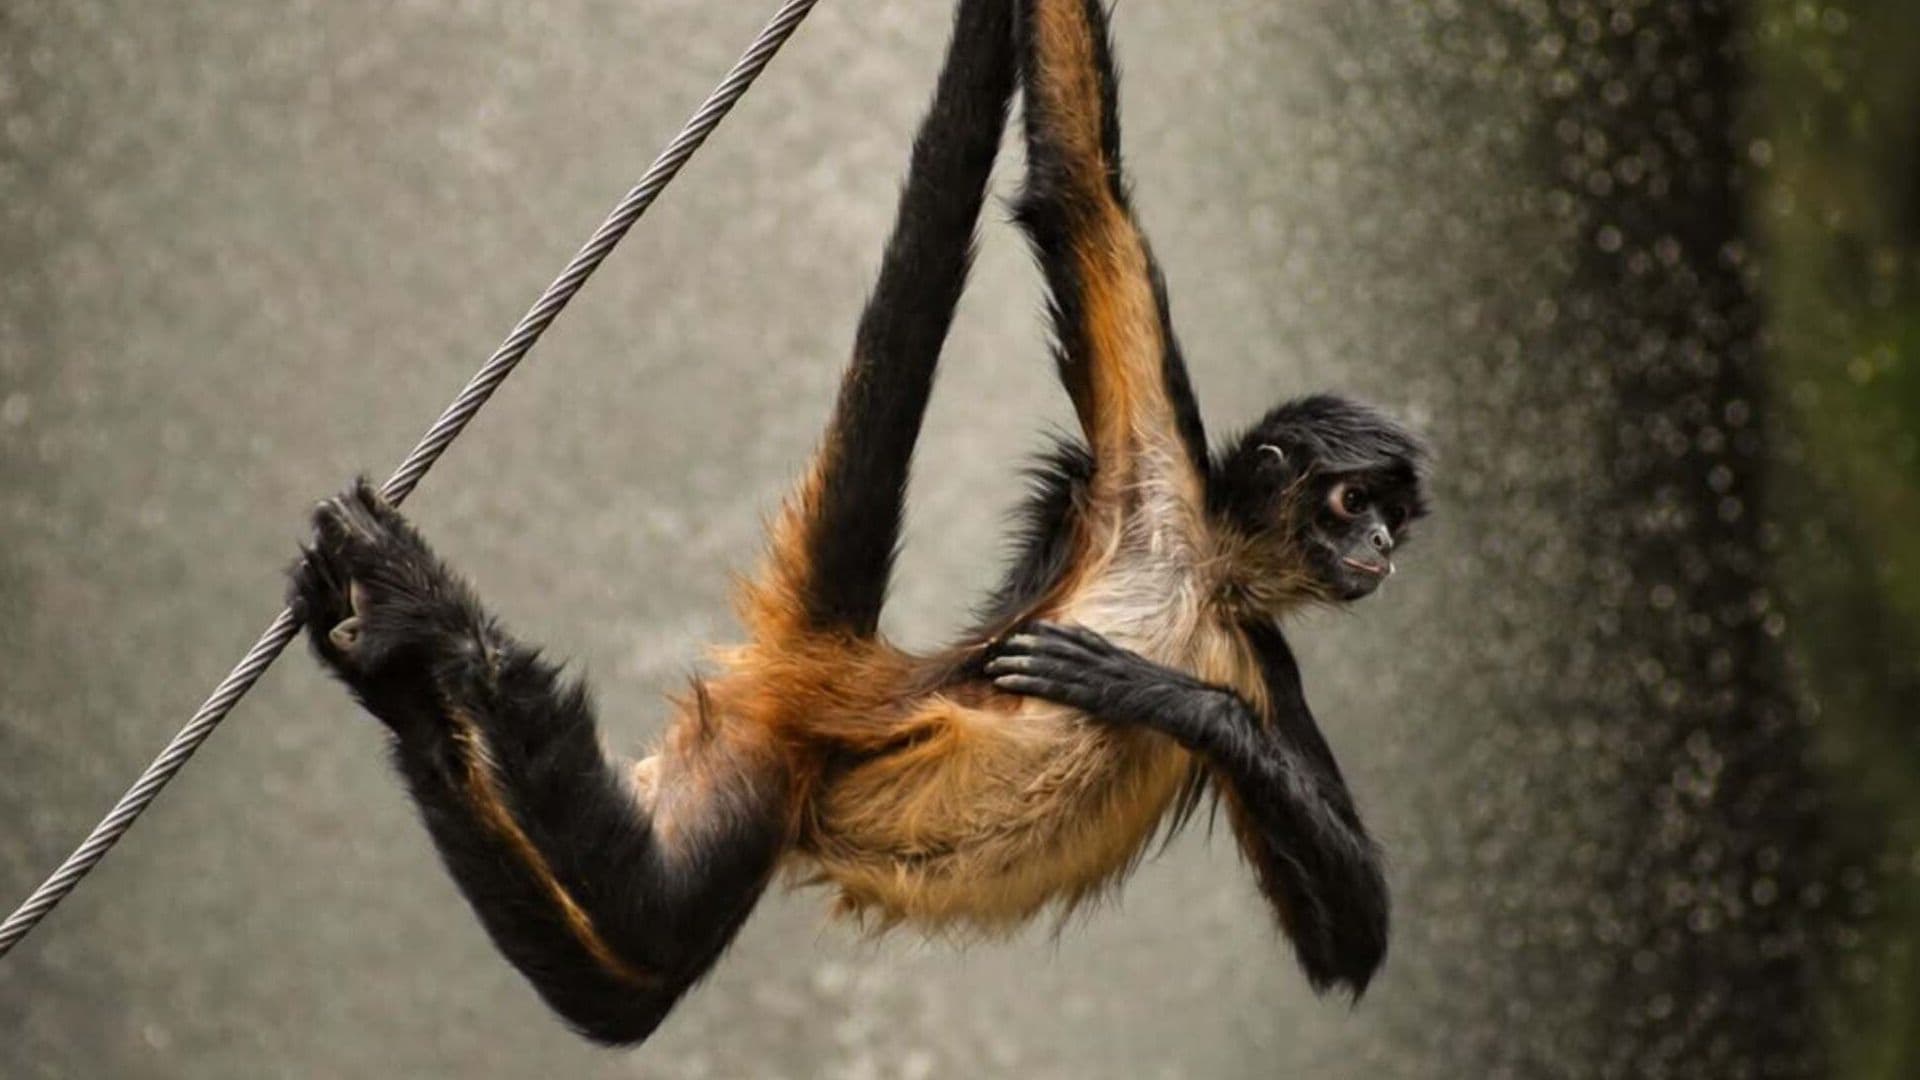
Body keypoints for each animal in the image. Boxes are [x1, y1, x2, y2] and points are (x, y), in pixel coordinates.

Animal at [290, 0, 1428, 1047]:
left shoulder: (1256, 650)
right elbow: (1079, 192)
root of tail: (847, 673)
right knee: (638, 916)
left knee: (638, 961)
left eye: (1394, 518)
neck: (1203, 576)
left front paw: (1161, 696)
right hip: (766, 758)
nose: (1379, 549)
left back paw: (394, 681)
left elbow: (1351, 939)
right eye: (1352, 501)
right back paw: (432, 622)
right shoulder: (1149, 470)